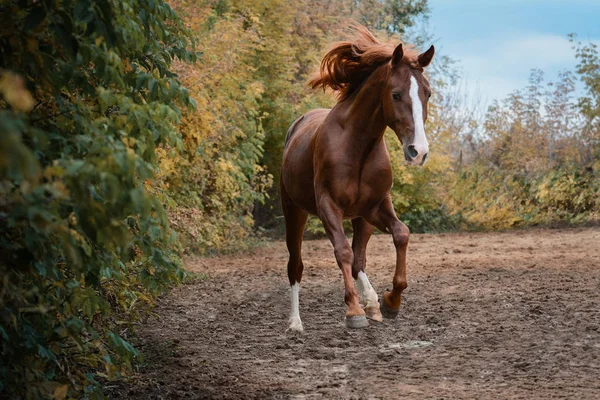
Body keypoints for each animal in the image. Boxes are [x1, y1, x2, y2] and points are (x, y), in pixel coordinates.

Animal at [278, 25, 434, 332]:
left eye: (428, 94)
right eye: (396, 94)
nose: (418, 151)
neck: (357, 144)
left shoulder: (375, 206)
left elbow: (401, 234)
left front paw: (390, 302)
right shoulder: (328, 206)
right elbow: (342, 253)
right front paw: (353, 311)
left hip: (362, 217)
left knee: (360, 258)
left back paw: (373, 302)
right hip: (294, 212)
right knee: (296, 265)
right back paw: (295, 323)